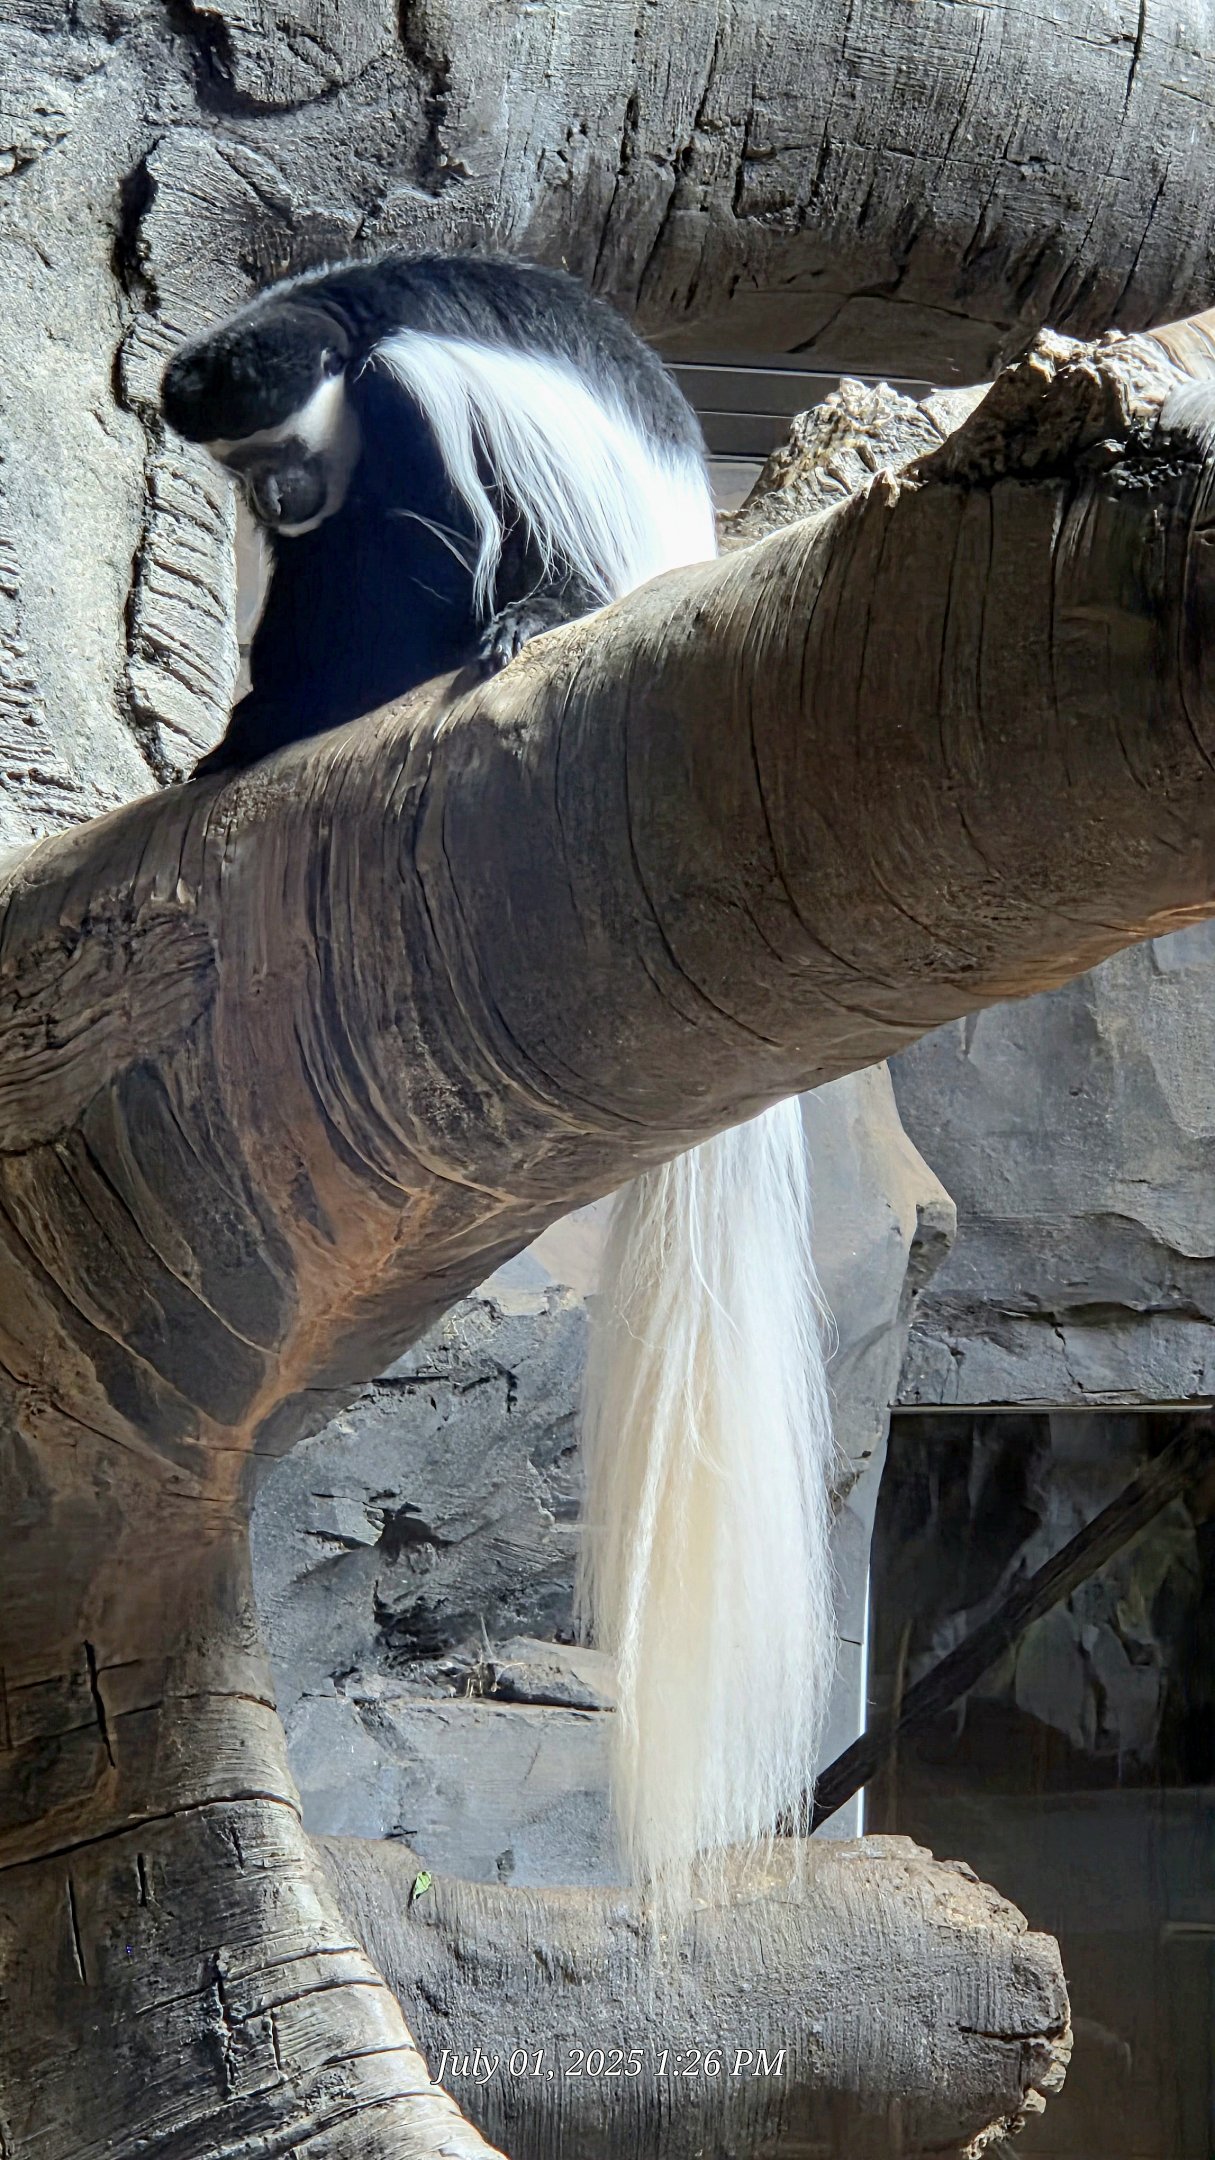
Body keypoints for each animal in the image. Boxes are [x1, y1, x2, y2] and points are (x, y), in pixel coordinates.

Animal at [160, 251, 718, 774]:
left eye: (278, 449)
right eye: (237, 465)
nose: (267, 499)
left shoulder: (405, 387)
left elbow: (443, 554)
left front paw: (302, 706)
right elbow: (313, 557)